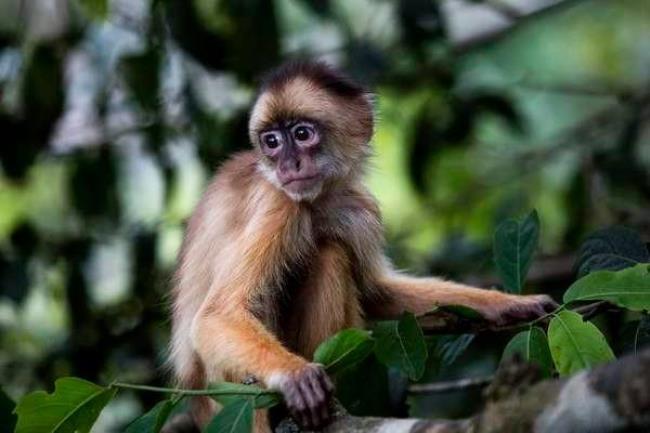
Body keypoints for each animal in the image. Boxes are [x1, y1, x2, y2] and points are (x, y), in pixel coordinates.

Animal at [168, 61, 556, 432]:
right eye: (272, 142)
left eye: (302, 134)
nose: (288, 164)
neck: (316, 201)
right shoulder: (278, 202)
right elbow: (217, 314)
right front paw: (295, 376)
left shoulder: (358, 207)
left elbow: (375, 292)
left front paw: (510, 304)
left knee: (331, 253)